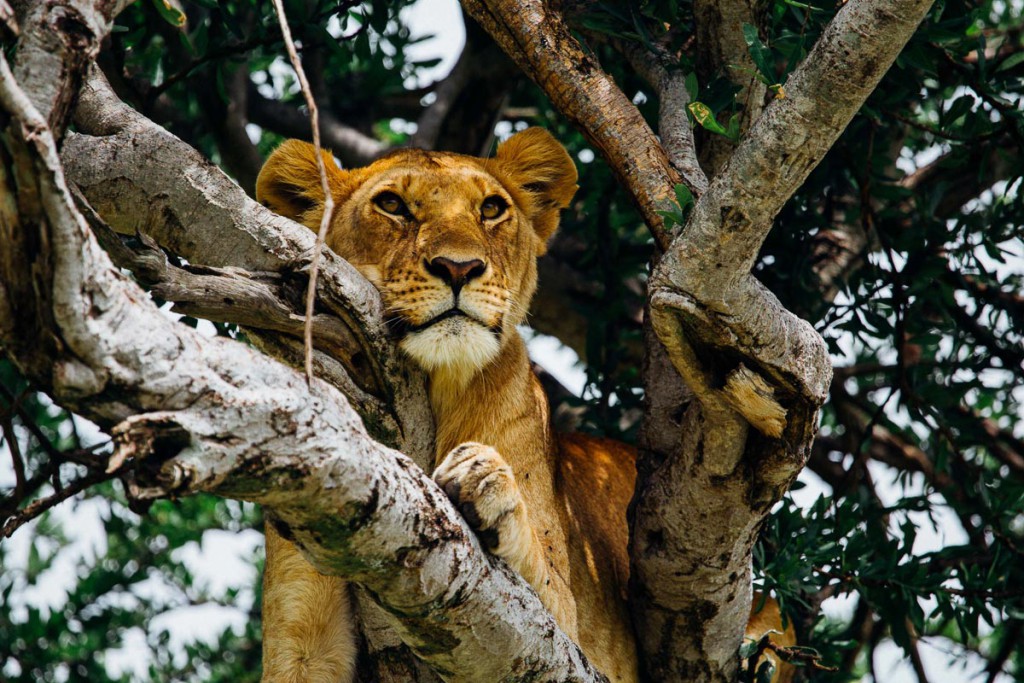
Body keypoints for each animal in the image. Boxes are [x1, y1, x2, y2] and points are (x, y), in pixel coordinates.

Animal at [255, 127, 794, 683]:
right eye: (392, 205)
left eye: (492, 209)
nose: (459, 267)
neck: (436, 386)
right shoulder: (302, 642)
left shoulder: (564, 638)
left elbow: (538, 575)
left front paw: (485, 481)